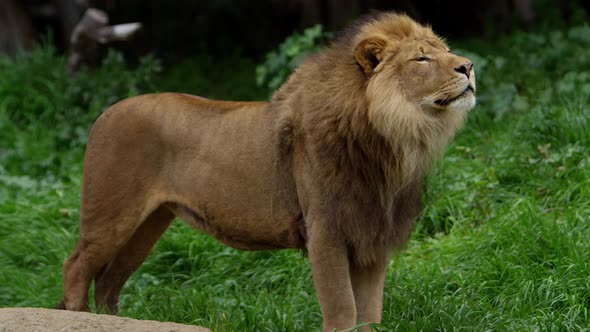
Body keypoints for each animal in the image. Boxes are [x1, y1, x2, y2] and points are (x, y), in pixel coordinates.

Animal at [57, 12, 476, 332]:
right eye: (421, 59)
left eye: (444, 50)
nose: (469, 66)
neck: (391, 139)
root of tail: (107, 112)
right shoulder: (325, 230)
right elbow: (343, 308)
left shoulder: (372, 235)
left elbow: (370, 314)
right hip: (111, 213)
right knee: (75, 267)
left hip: (150, 223)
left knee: (109, 281)